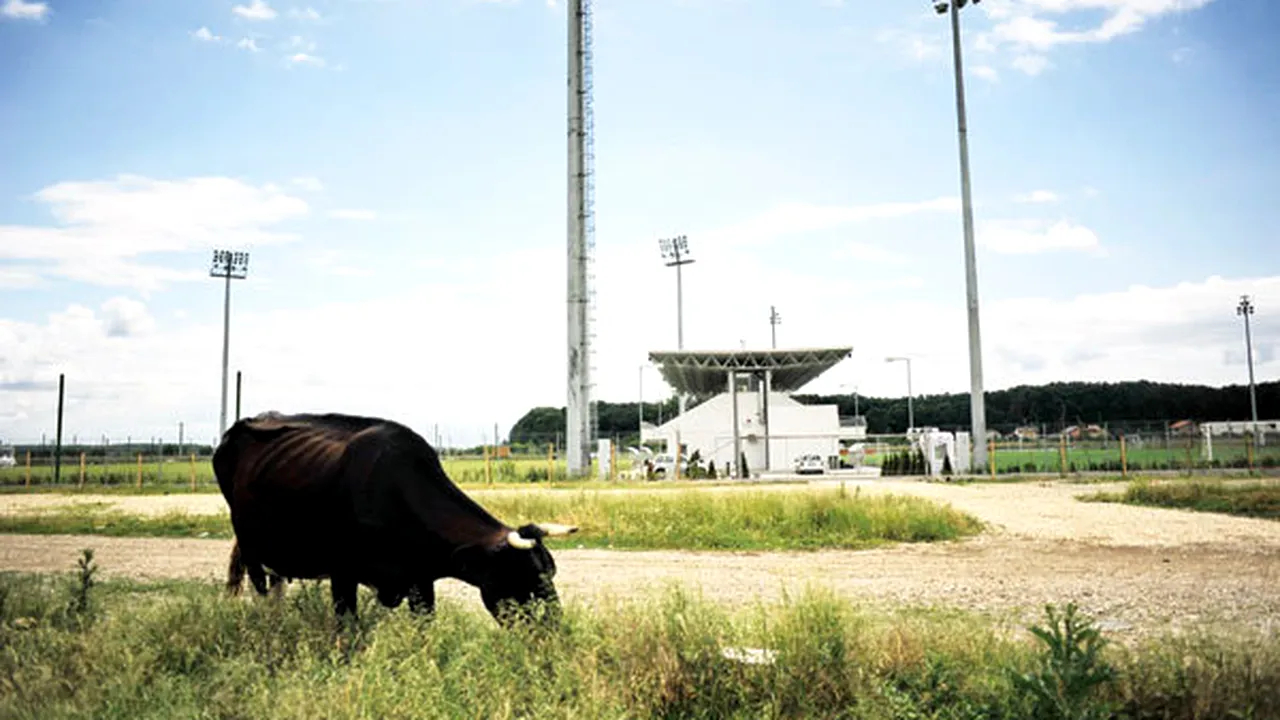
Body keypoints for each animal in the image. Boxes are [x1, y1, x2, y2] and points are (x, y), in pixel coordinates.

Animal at [213, 409, 576, 622]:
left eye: (551, 575)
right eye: (523, 579)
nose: (556, 630)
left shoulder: (420, 579)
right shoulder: (342, 573)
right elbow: (346, 629)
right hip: (251, 546)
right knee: (261, 589)